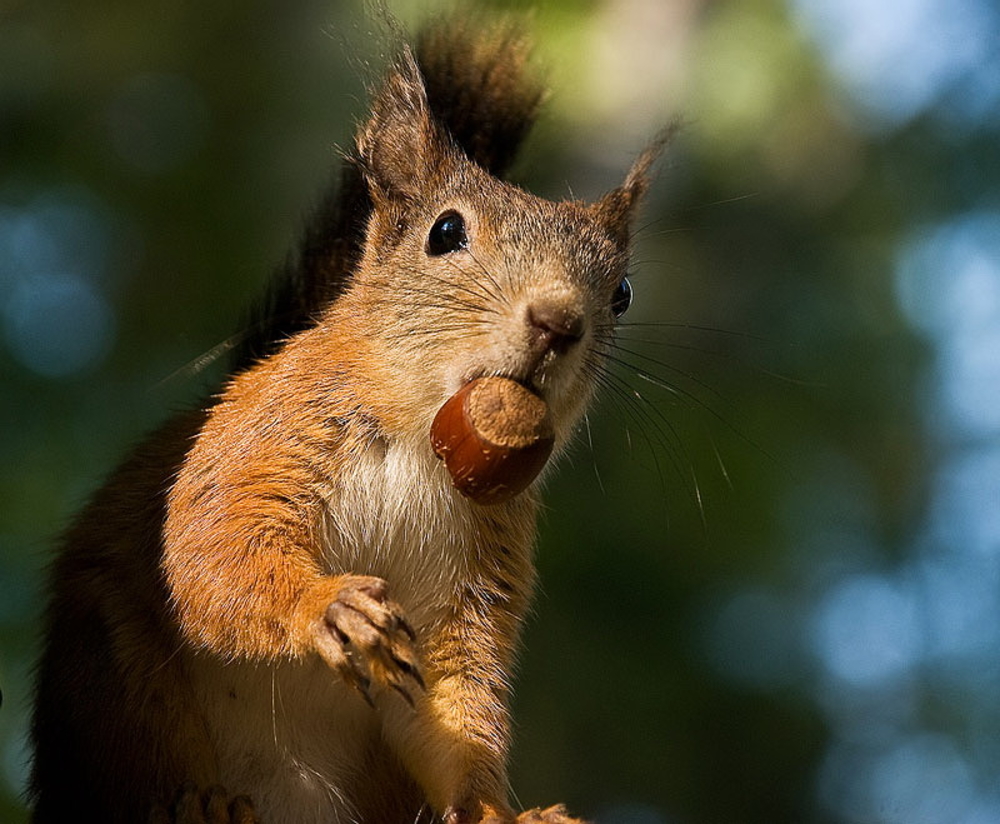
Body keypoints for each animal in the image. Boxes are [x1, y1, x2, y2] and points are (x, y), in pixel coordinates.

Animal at [31, 14, 668, 824]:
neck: (423, 438)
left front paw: (496, 809)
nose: (559, 322)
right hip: (119, 678)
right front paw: (327, 608)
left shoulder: (479, 573)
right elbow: (214, 553)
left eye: (622, 292)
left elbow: (457, 698)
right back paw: (200, 803)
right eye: (446, 232)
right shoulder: (260, 439)